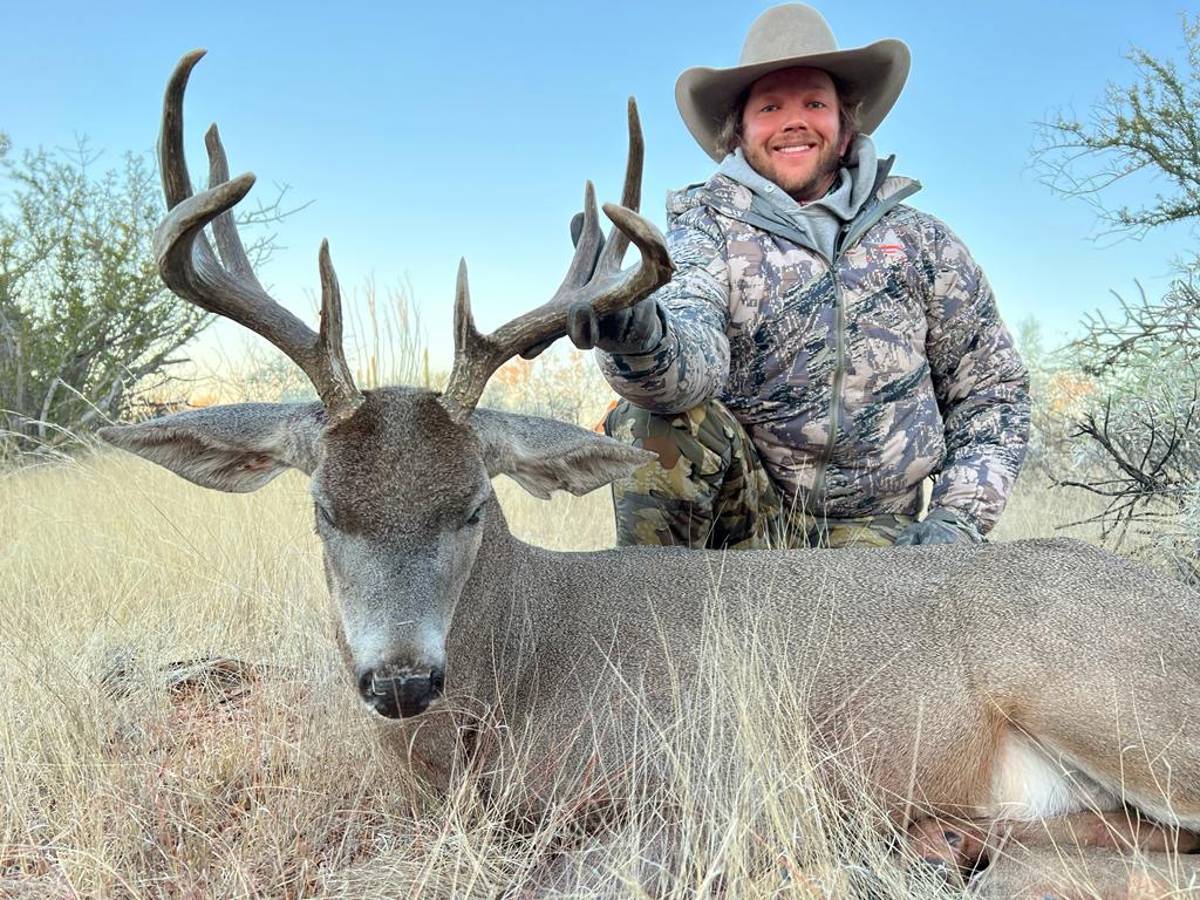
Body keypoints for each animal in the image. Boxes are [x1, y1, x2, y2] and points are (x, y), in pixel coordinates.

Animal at [100, 51, 1200, 894]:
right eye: (326, 510)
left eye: (472, 509)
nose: (403, 680)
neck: (523, 678)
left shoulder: (713, 787)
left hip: (1113, 695)